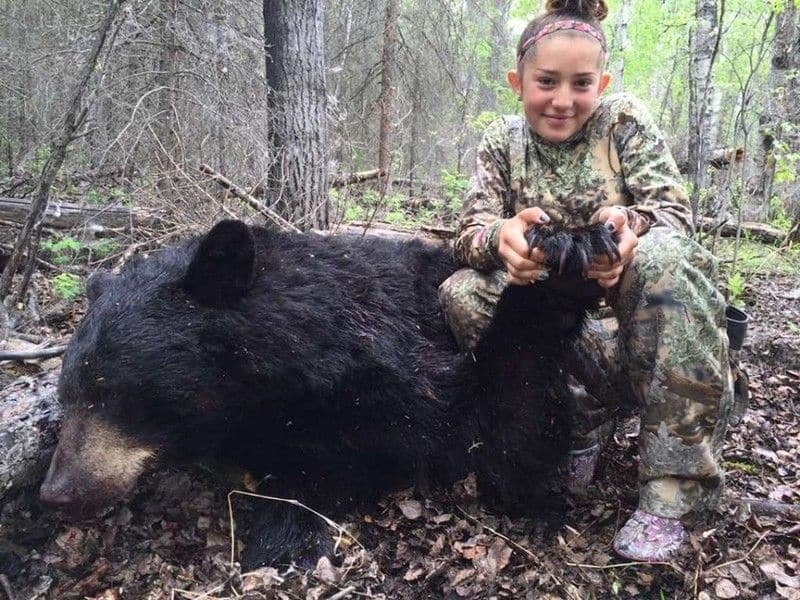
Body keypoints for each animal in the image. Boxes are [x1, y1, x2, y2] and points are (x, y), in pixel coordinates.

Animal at [39, 219, 620, 568]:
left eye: (109, 390)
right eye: (67, 392)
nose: (57, 492)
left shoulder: (400, 369)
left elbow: (495, 432)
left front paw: (574, 253)